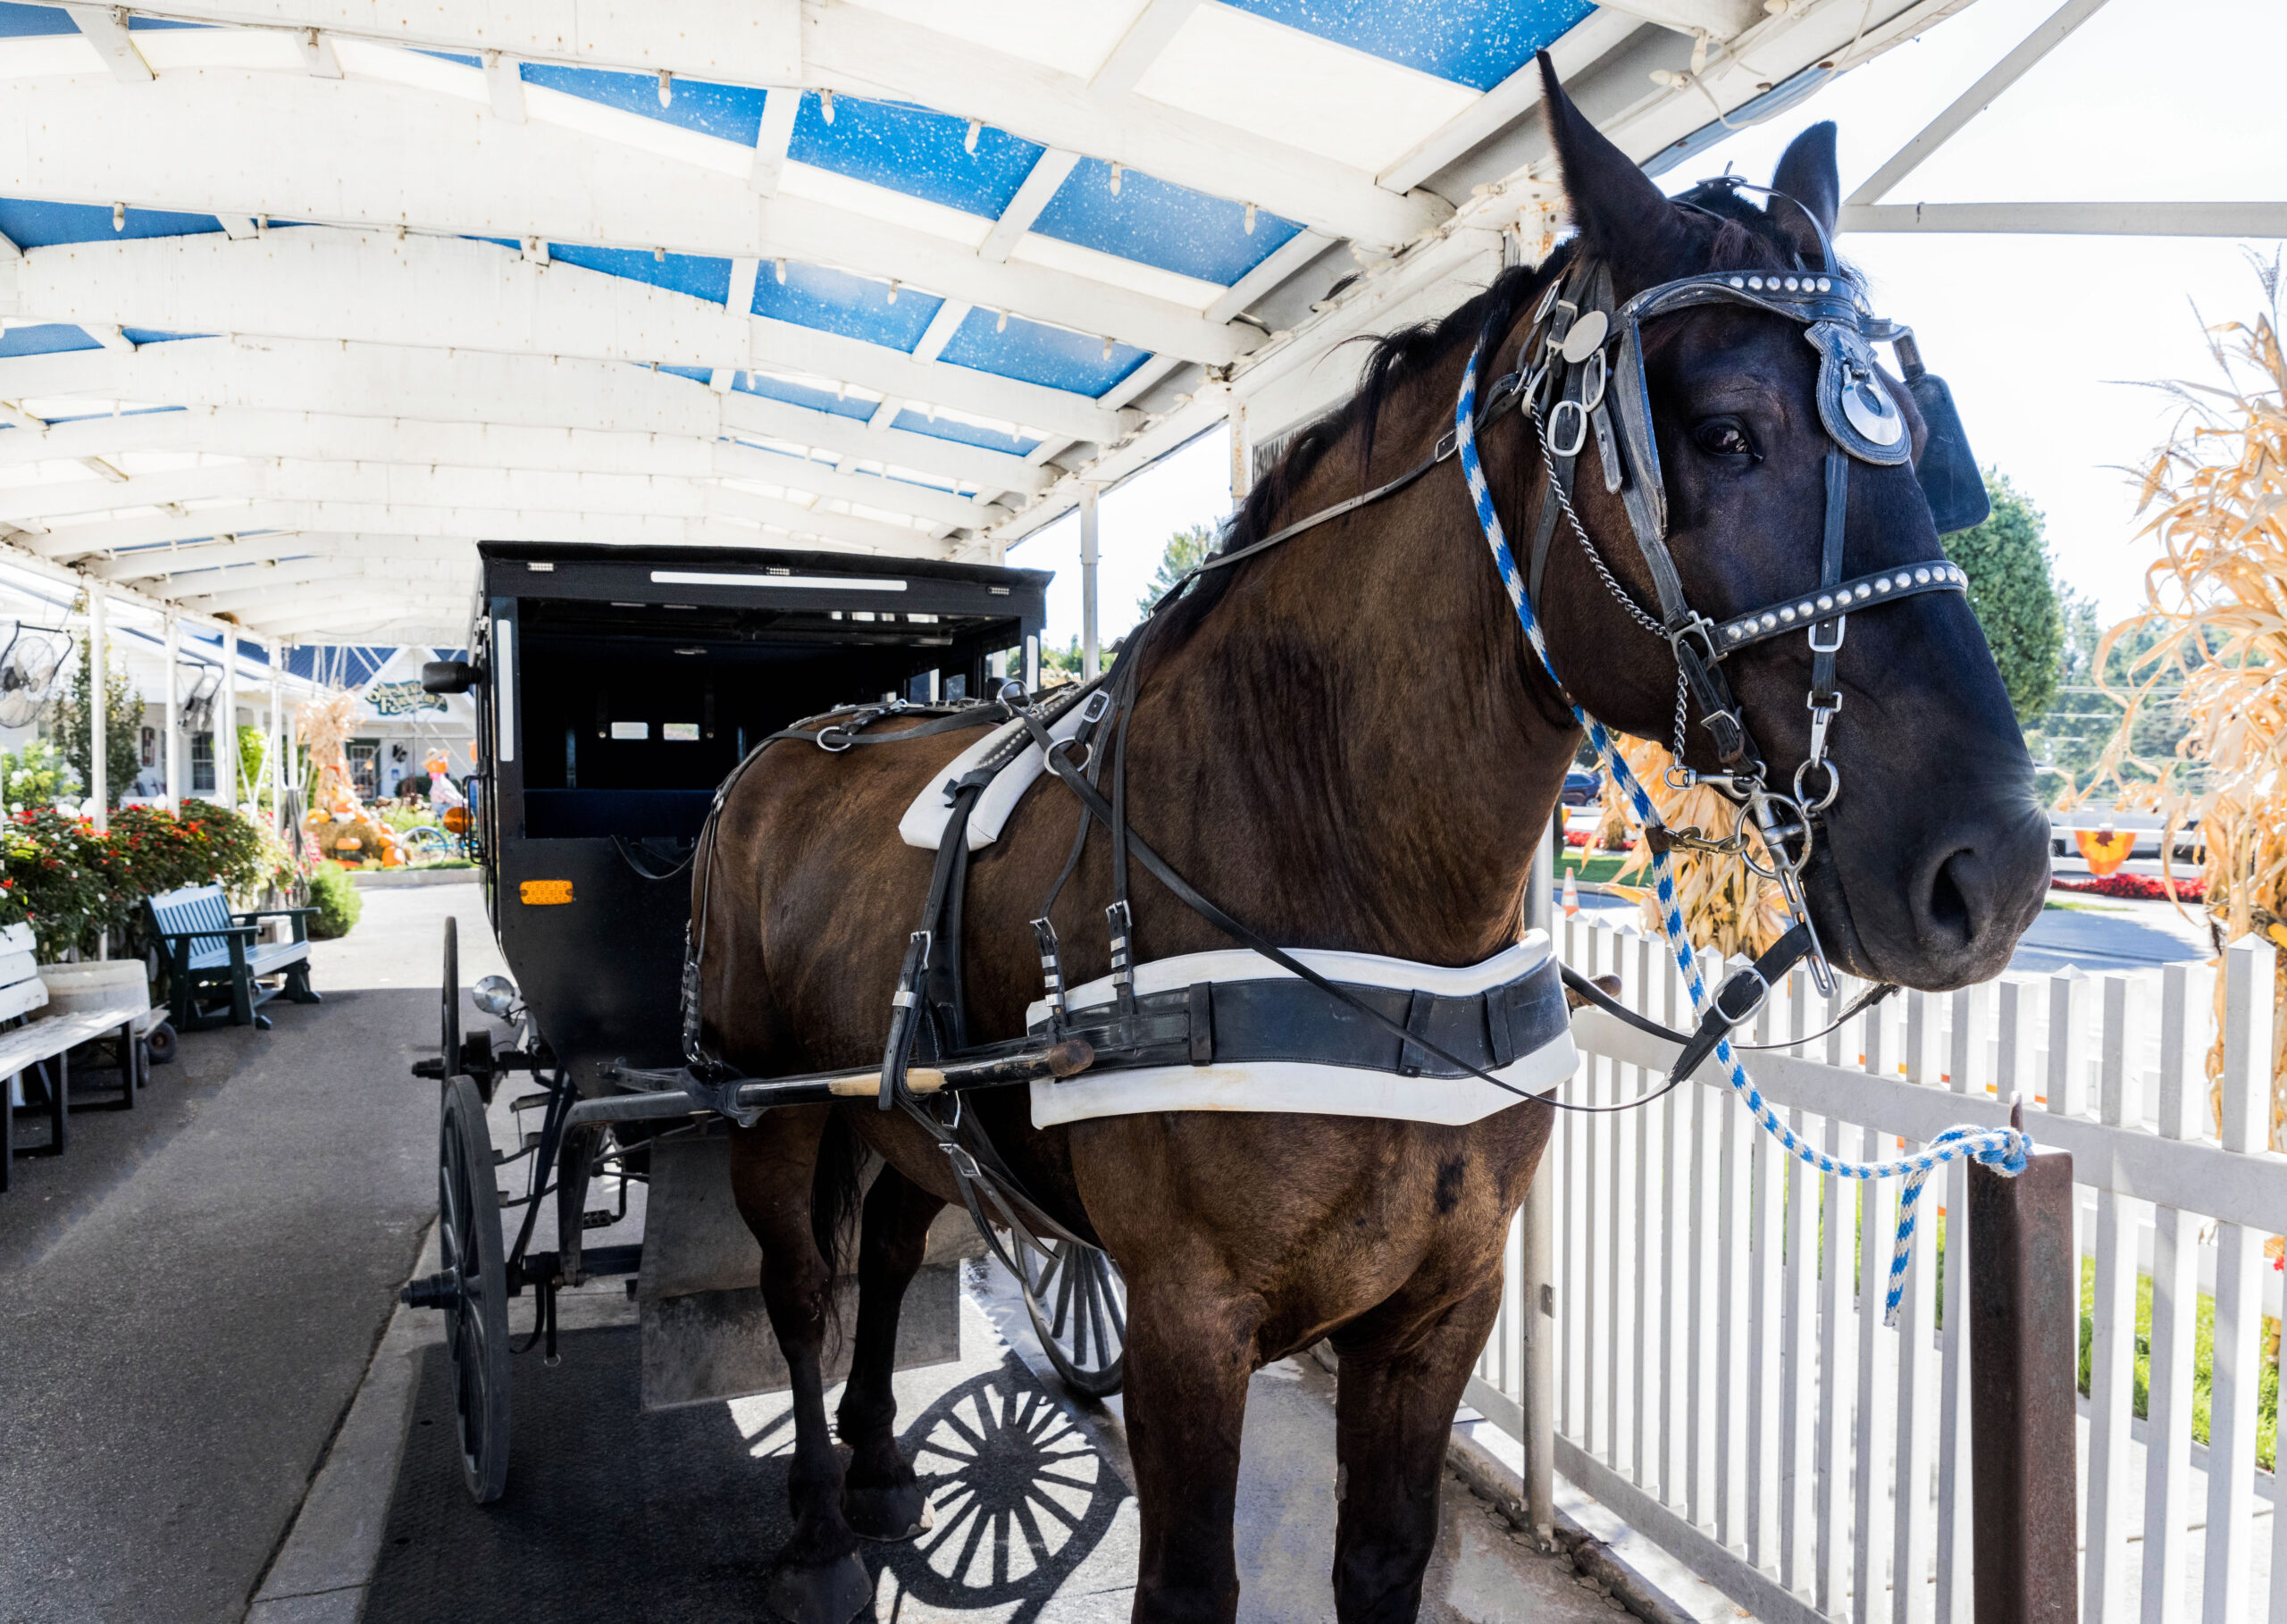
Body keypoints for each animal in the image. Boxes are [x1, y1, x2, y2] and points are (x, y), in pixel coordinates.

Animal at [686, 70, 2048, 1624]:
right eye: (1722, 432)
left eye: (1924, 440)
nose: (1997, 867)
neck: (1349, 885)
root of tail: (789, 745)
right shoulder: (1185, 1322)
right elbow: (1190, 1584)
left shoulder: (1441, 1305)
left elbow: (1383, 1556)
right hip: (771, 1106)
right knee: (805, 1286)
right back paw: (811, 1507)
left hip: (900, 1106)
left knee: (900, 1238)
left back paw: (868, 1454)